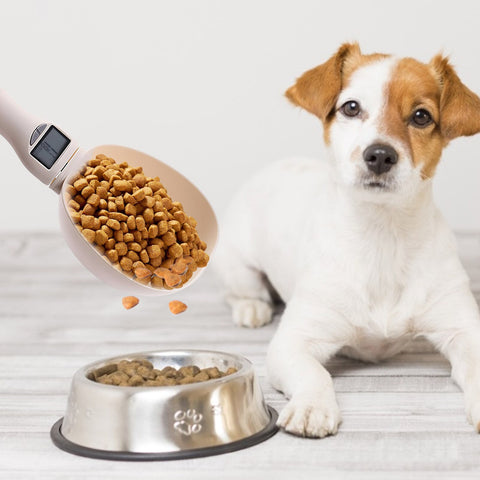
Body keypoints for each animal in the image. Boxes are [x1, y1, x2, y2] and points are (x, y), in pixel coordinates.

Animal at [216, 43, 480, 436]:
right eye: (351, 107)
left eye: (421, 116)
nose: (380, 155)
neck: (382, 235)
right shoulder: (294, 342)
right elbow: (316, 373)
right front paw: (312, 406)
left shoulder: (463, 329)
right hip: (238, 266)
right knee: (242, 291)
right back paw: (253, 307)